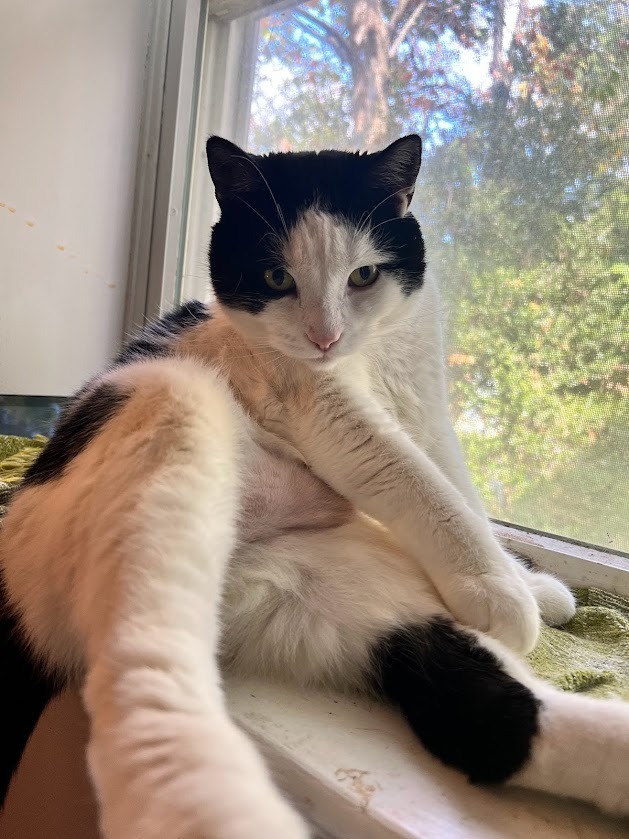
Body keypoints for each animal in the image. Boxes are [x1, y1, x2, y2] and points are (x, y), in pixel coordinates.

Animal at [1, 134, 628, 839]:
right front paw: (499, 588)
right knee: (144, 662)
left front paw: (525, 584)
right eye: (278, 279)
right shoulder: (326, 411)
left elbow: (457, 485)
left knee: (491, 720)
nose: (324, 337)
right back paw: (214, 803)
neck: (368, 358)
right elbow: (417, 482)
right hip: (170, 414)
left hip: (359, 601)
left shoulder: (423, 402)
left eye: (364, 275)